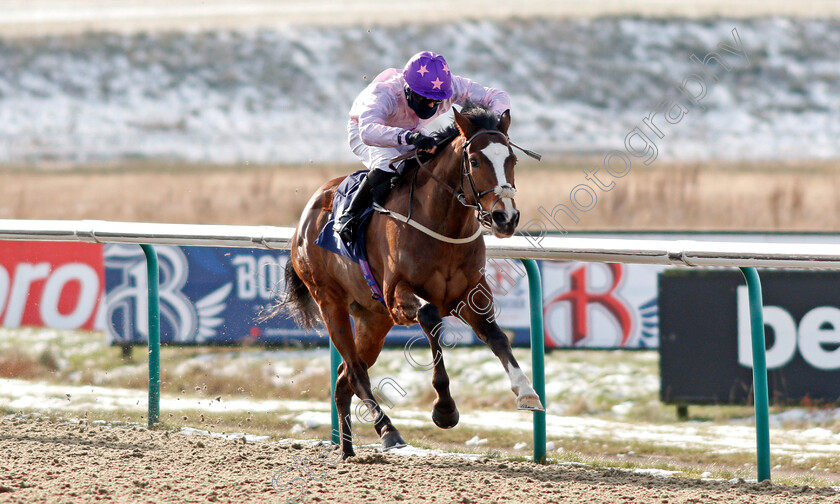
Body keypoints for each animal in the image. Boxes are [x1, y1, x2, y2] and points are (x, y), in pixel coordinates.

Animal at [272, 102, 540, 456]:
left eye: (512, 159)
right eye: (474, 161)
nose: (505, 217)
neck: (442, 225)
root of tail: (304, 217)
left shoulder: (471, 293)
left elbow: (497, 336)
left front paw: (526, 391)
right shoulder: (398, 296)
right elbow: (430, 316)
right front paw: (444, 409)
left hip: (374, 319)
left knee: (343, 377)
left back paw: (347, 449)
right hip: (330, 302)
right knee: (355, 372)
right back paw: (387, 430)